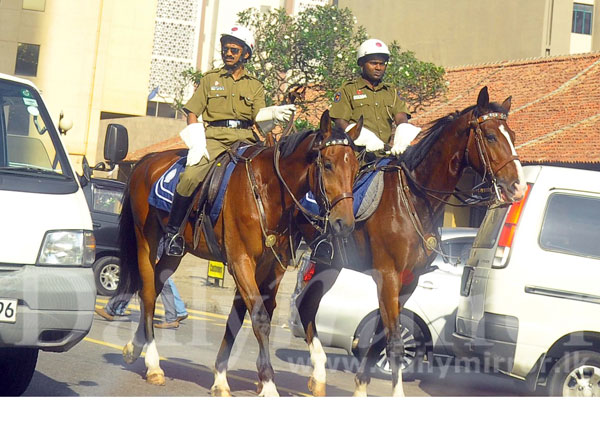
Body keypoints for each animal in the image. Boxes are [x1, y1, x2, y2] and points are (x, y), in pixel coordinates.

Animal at [117, 110, 360, 394]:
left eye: (356, 169)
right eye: (328, 164)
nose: (345, 224)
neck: (267, 191)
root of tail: (147, 161)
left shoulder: (271, 268)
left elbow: (239, 316)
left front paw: (221, 378)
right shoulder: (240, 262)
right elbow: (260, 317)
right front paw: (268, 384)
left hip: (175, 252)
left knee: (155, 287)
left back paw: (136, 347)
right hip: (147, 239)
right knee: (146, 291)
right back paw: (153, 364)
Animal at [298, 86, 528, 396]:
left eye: (512, 135)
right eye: (491, 136)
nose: (518, 186)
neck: (413, 198)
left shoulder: (410, 279)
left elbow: (382, 338)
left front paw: (361, 388)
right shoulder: (388, 276)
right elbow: (394, 342)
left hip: (329, 263)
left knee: (306, 306)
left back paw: (317, 376)